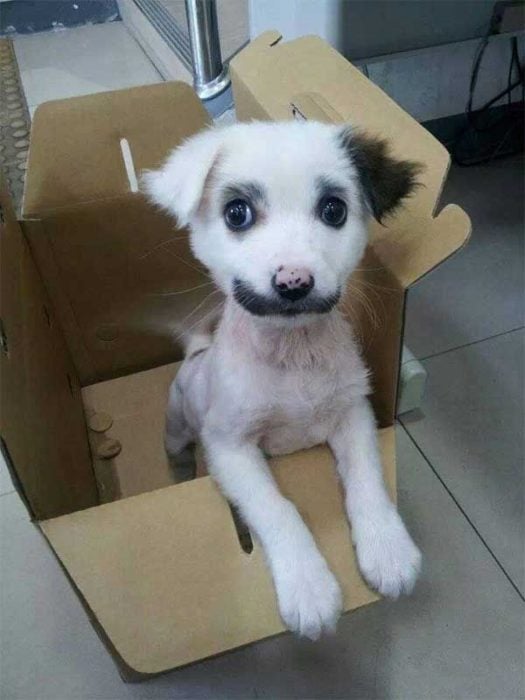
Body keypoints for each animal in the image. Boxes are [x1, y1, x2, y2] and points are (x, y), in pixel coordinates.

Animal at [143, 120, 422, 640]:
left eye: (334, 210)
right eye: (237, 213)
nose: (294, 282)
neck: (293, 357)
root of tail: (197, 352)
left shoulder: (353, 413)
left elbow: (367, 479)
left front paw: (387, 548)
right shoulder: (230, 448)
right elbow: (277, 508)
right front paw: (307, 586)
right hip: (176, 424)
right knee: (176, 451)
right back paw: (180, 472)